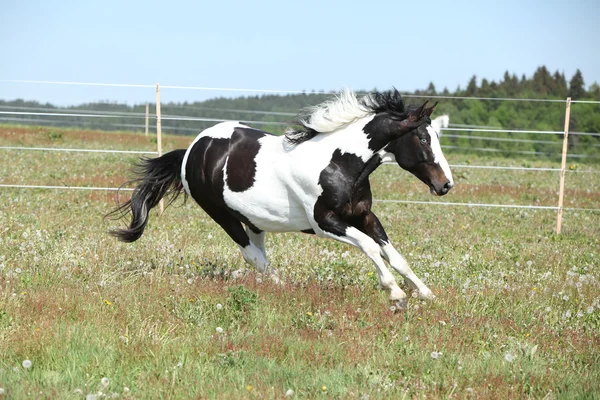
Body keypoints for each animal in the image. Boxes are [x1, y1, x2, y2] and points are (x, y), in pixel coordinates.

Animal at [109, 90, 454, 310]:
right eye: (423, 139)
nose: (446, 184)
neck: (338, 163)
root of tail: (192, 150)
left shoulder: (364, 216)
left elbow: (394, 255)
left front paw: (425, 293)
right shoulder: (325, 223)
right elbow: (370, 248)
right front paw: (395, 293)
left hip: (253, 220)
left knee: (258, 253)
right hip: (222, 216)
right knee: (254, 257)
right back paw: (282, 287)